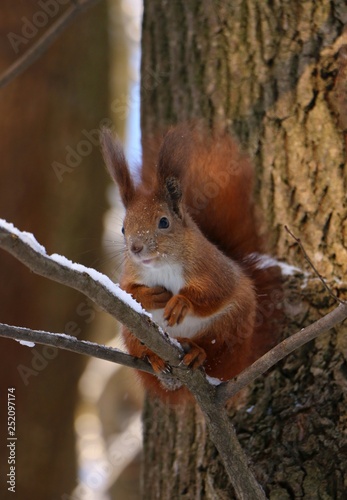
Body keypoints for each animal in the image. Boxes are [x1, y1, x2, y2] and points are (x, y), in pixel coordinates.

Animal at [100, 124, 282, 402]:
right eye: (123, 228)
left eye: (164, 222)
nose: (136, 248)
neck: (162, 265)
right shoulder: (130, 273)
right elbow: (126, 292)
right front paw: (150, 296)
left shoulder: (213, 268)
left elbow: (216, 290)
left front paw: (180, 303)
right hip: (131, 332)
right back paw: (153, 357)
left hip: (232, 324)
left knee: (214, 351)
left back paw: (196, 351)